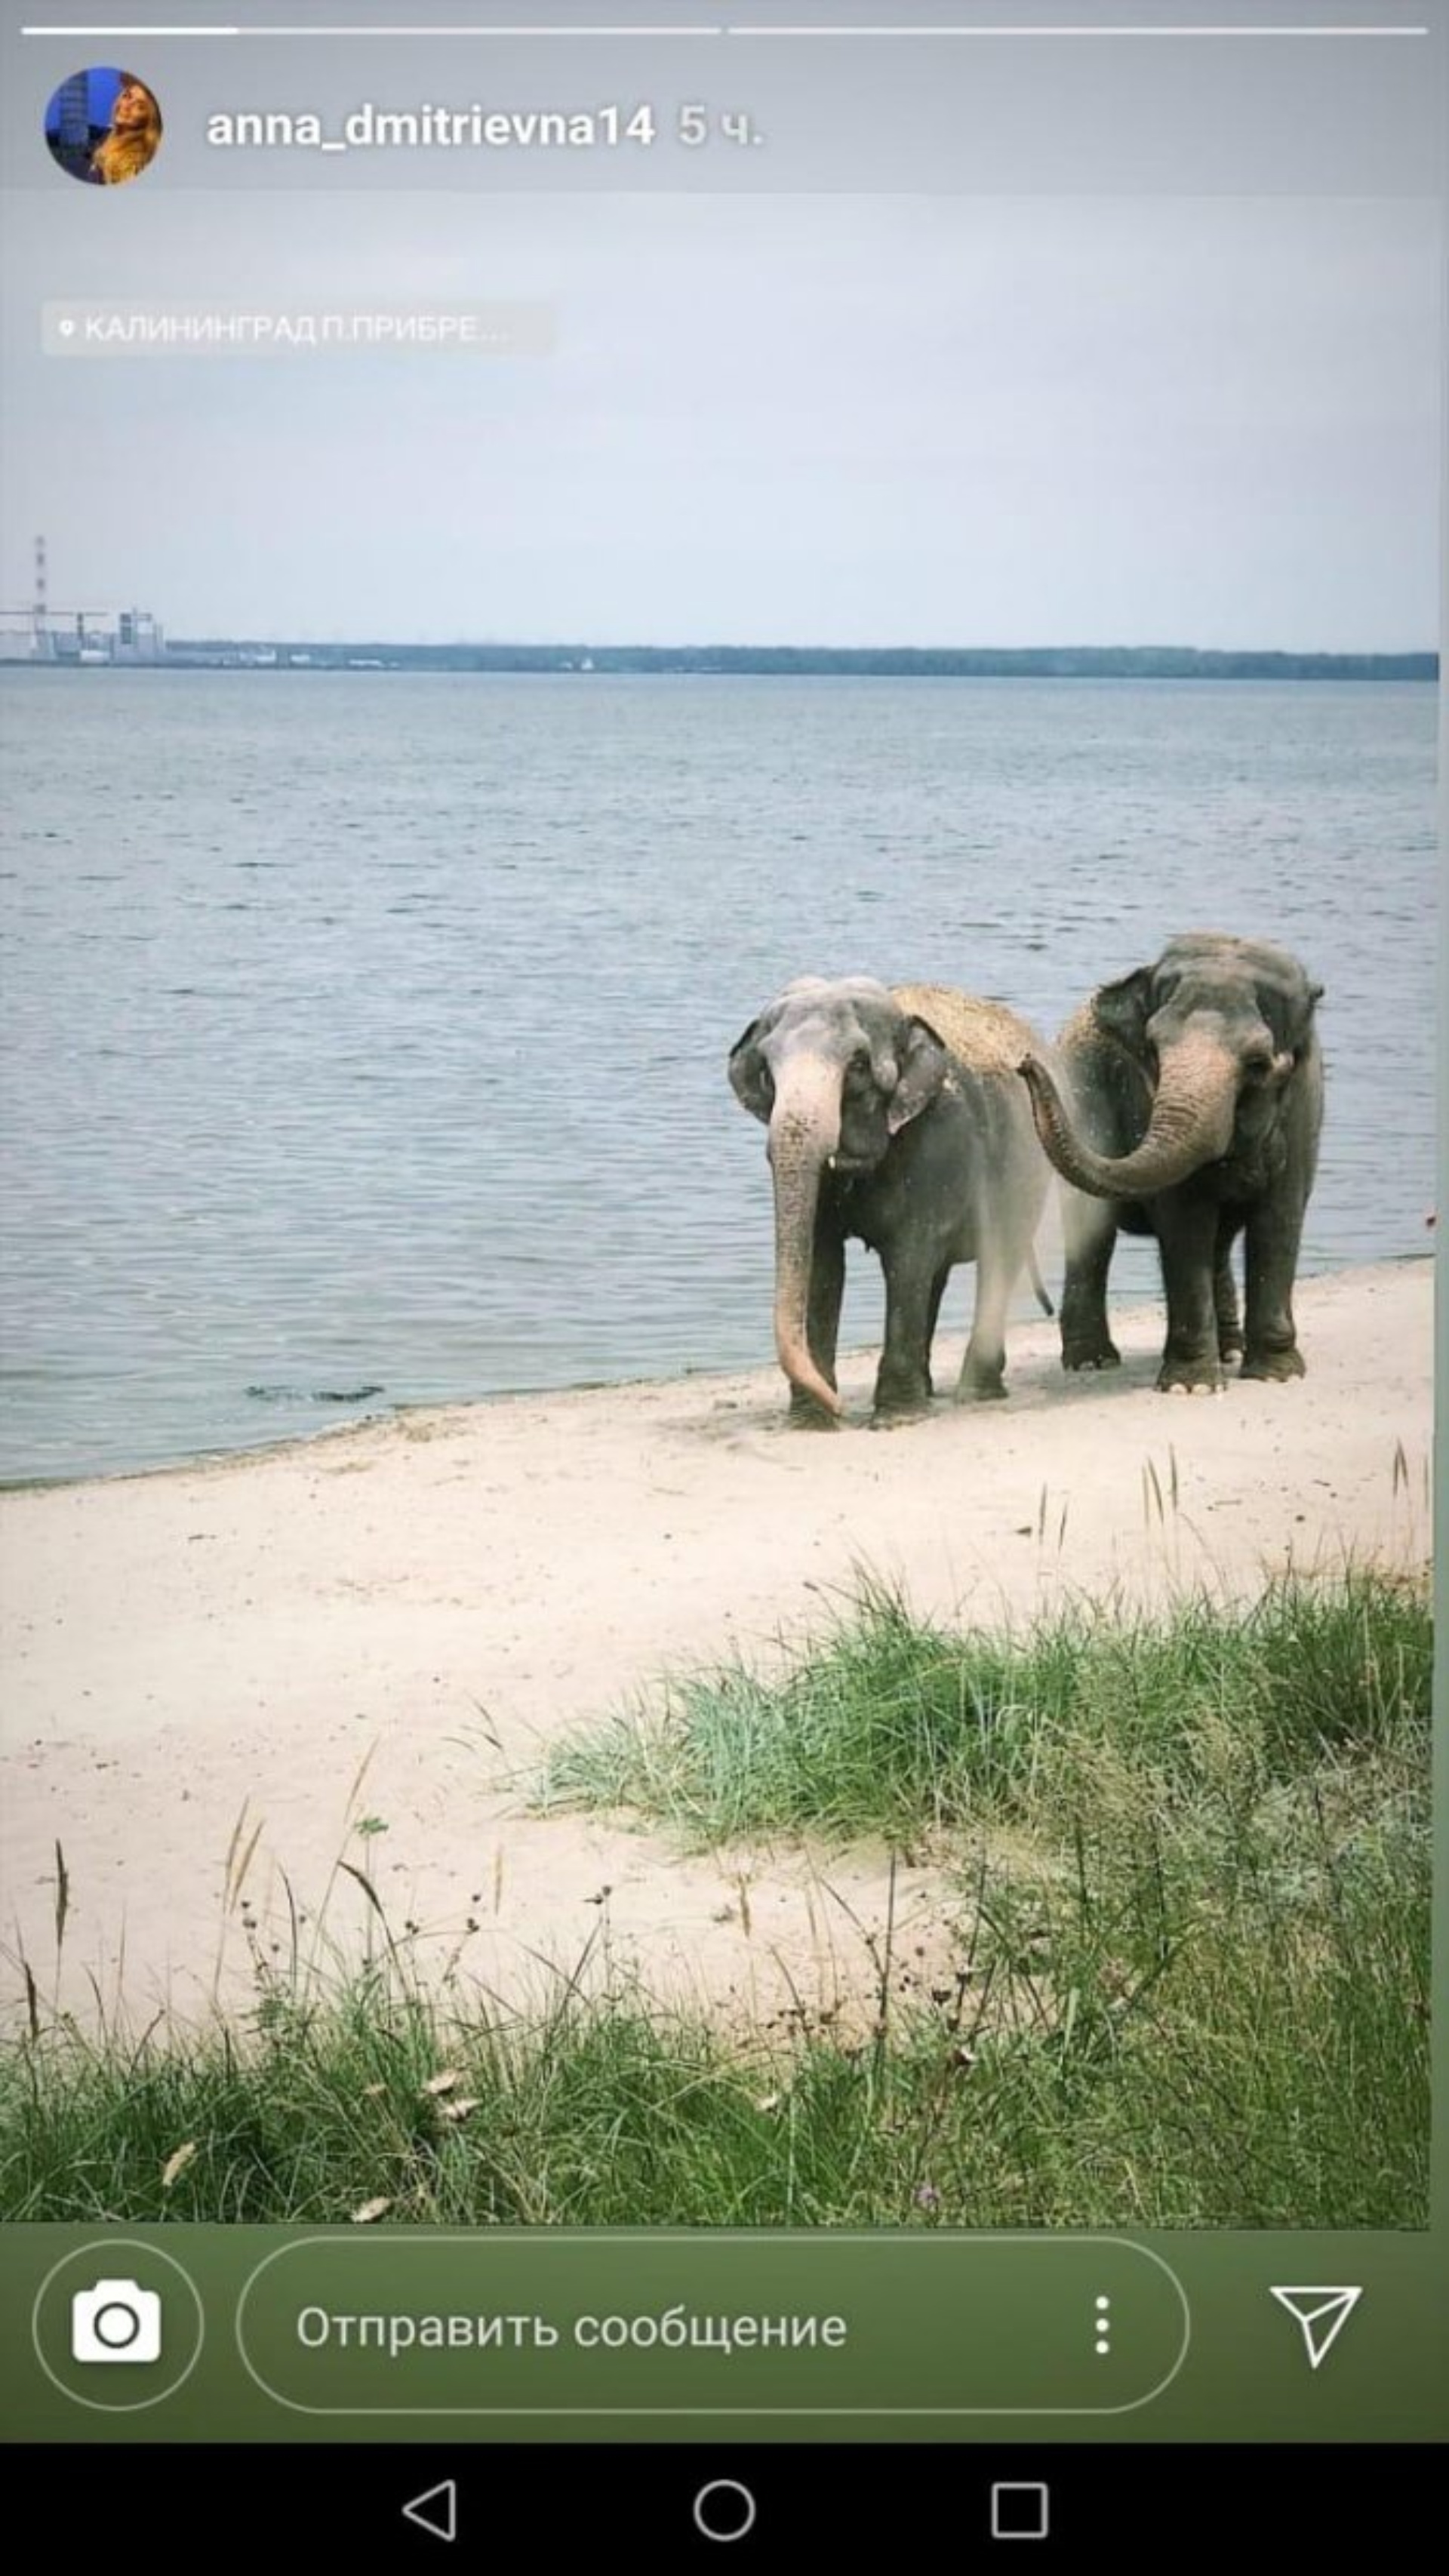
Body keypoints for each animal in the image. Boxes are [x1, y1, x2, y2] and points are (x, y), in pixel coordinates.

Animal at [725, 974, 1055, 1432]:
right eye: (767, 1072)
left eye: (859, 1067)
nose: (840, 1408)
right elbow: (823, 1265)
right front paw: (812, 1422)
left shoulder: (937, 1139)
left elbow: (908, 1256)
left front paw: (894, 1419)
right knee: (937, 1277)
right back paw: (930, 1390)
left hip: (1028, 1171)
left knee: (995, 1260)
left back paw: (976, 1393)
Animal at [1019, 927, 1327, 1401]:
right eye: (1152, 1049)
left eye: (1259, 1063)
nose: (1025, 1064)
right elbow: (1184, 1222)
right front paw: (1192, 1388)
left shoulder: (1304, 1109)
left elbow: (1279, 1218)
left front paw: (1277, 1375)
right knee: (1093, 1231)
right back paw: (1092, 1360)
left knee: (1220, 1242)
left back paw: (1231, 1351)